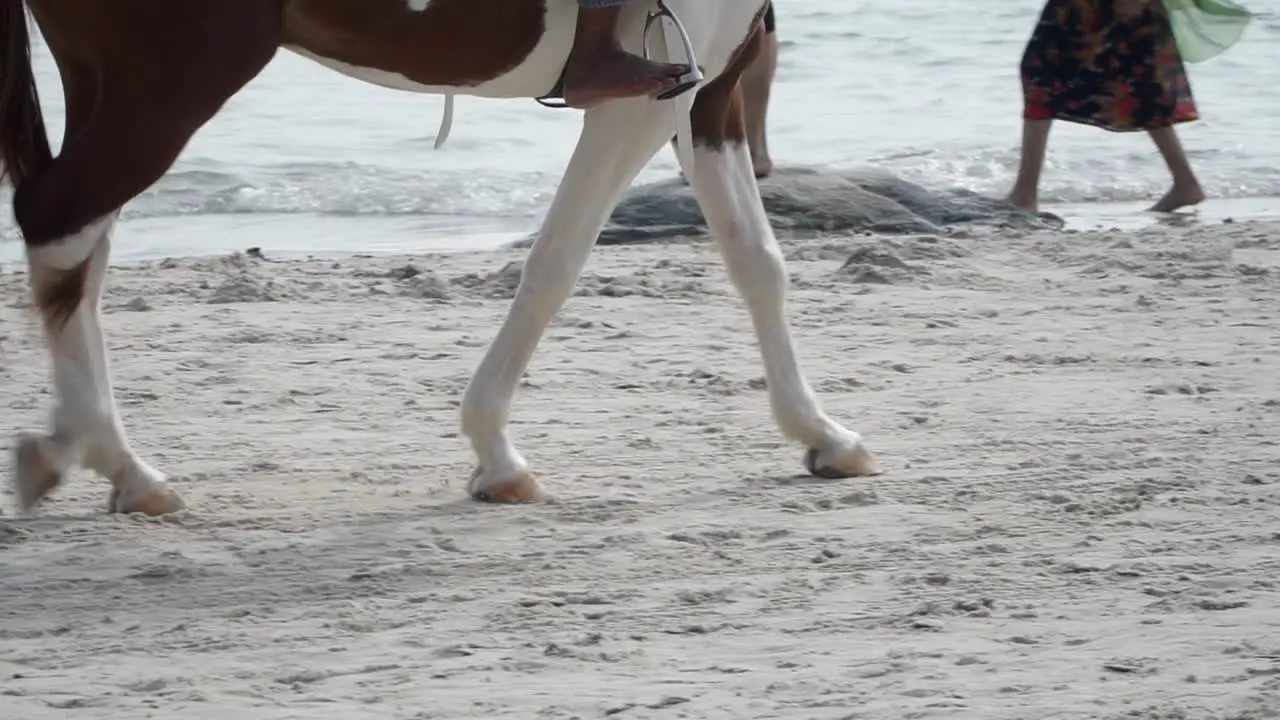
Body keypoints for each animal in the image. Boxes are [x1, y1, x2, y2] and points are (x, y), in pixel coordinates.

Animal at [0, 1, 880, 515]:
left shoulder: (708, 96)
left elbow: (757, 261)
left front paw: (822, 432)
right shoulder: (643, 104)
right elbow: (558, 260)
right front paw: (494, 449)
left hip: (116, 85)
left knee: (80, 253)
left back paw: (105, 458)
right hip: (171, 84)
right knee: (62, 226)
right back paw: (105, 456)